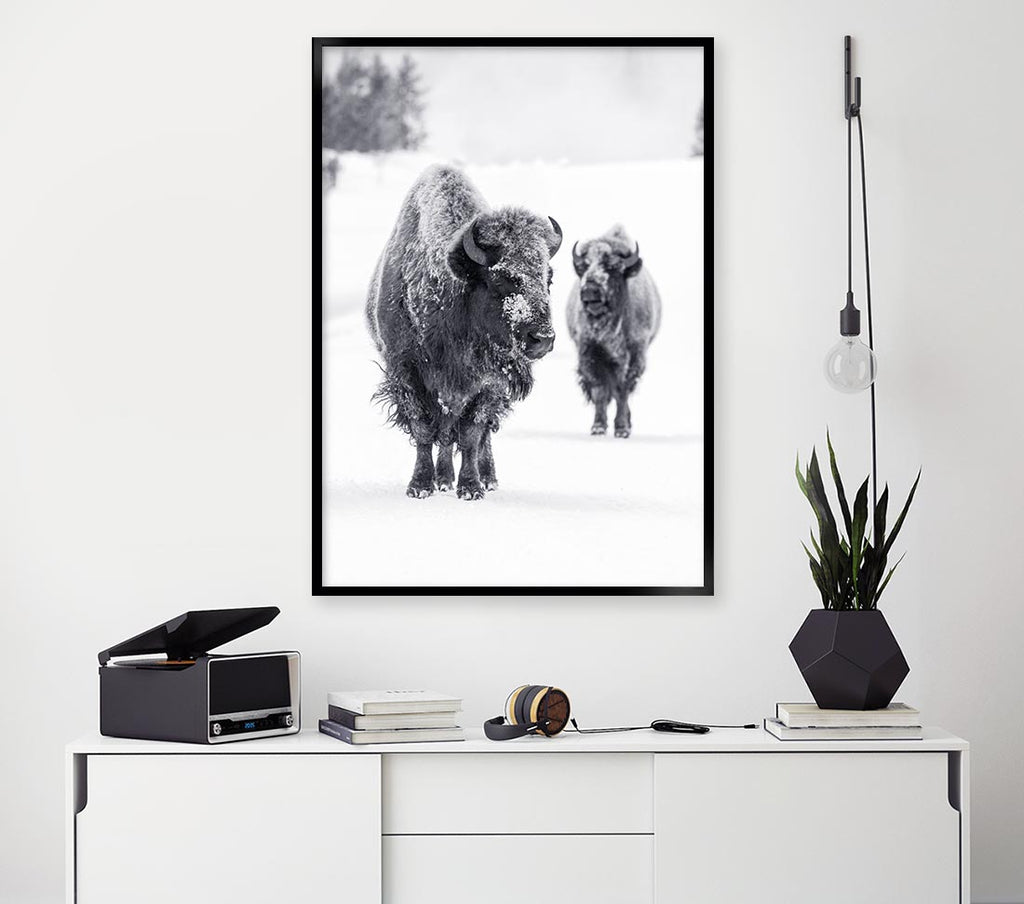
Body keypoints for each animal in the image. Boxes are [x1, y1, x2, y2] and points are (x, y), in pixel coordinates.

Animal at [366, 164, 562, 499]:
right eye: (500, 278)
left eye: (547, 278)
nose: (542, 339)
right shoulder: (405, 370)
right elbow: (422, 429)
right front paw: (420, 486)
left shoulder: (489, 384)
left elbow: (472, 434)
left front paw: (471, 488)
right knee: (444, 433)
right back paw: (443, 479)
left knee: (478, 435)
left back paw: (487, 479)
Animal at [566, 225, 661, 438]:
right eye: (585, 266)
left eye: (612, 267)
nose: (590, 291)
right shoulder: (590, 355)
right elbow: (600, 390)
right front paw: (598, 427)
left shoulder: (633, 356)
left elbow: (621, 390)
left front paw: (622, 428)